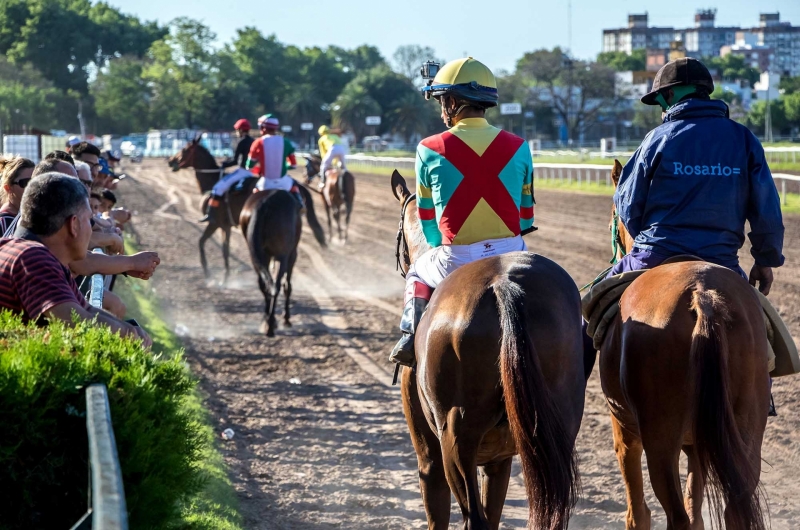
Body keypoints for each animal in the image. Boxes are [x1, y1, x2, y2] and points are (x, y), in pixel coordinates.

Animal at [168, 138, 256, 282]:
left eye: (185, 149)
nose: (170, 160)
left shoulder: (215, 223)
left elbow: (204, 243)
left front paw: (211, 274)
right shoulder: (226, 226)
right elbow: (224, 249)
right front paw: (225, 276)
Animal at [390, 170, 584, 528]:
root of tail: (502, 284)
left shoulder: (429, 456)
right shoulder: (499, 458)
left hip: (455, 439)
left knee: (473, 519)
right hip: (556, 432)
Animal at [600, 160, 768, 528]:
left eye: (613, 218)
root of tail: (701, 293)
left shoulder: (624, 431)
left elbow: (639, 511)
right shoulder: (701, 441)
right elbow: (696, 506)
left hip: (660, 438)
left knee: (675, 515)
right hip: (747, 426)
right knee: (734, 507)